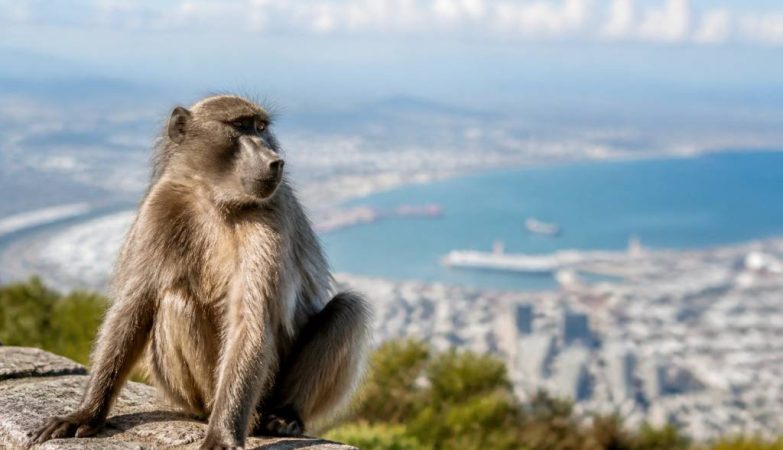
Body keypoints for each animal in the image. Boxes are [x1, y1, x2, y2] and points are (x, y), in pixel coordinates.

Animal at [31, 95, 372, 449]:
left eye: (261, 127)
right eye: (241, 126)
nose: (275, 160)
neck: (214, 198)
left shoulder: (270, 213)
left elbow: (249, 320)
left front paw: (222, 435)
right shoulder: (160, 206)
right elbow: (134, 307)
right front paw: (85, 413)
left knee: (348, 310)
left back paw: (282, 415)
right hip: (195, 392)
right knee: (175, 302)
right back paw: (215, 413)